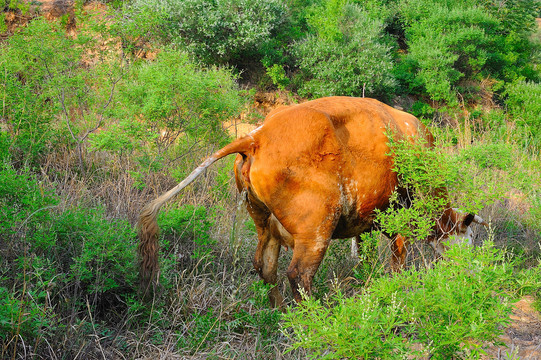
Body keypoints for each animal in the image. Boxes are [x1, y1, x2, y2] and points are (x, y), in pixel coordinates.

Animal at [138, 96, 486, 306]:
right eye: (470, 238)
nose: (470, 271)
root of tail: (257, 135)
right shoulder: (400, 221)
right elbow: (398, 260)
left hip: (265, 224)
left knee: (265, 266)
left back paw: (279, 314)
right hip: (316, 230)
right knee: (298, 275)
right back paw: (312, 318)